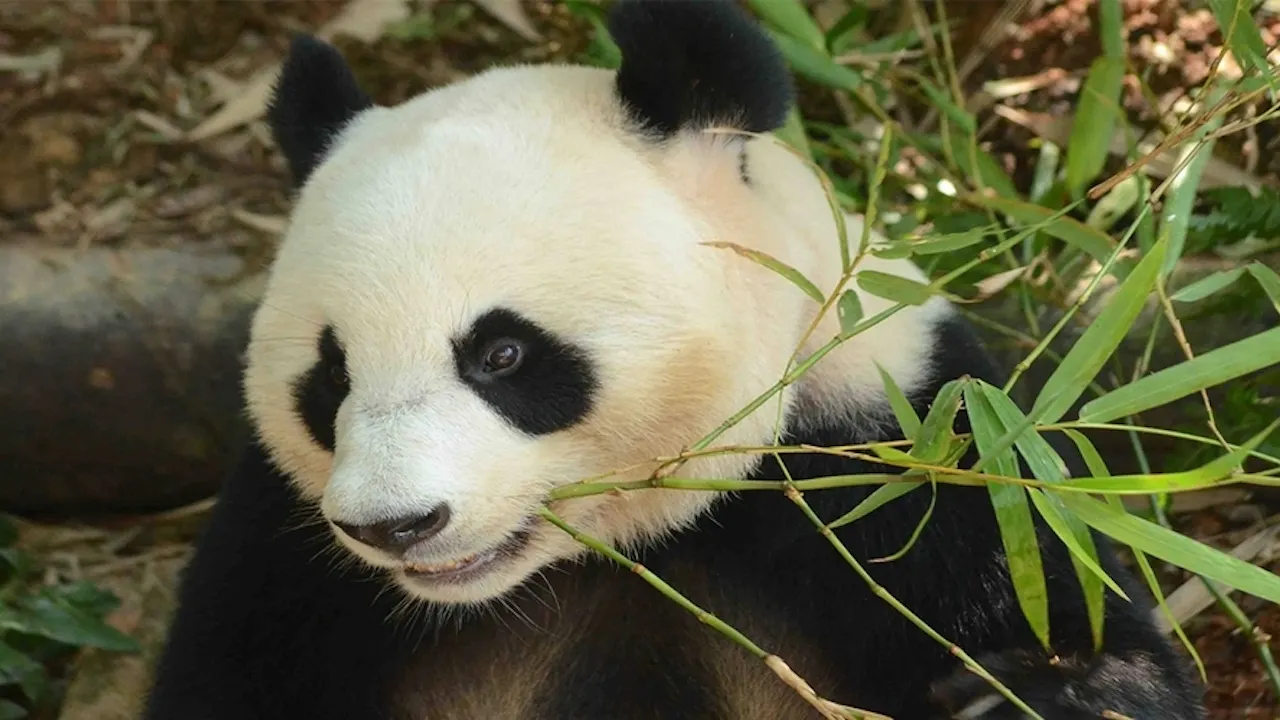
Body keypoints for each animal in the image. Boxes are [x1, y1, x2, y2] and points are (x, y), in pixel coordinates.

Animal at [143, 1, 1206, 718]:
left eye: (502, 353)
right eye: (331, 377)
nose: (396, 526)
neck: (616, 548)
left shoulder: (906, 441)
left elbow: (1076, 632)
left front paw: (1020, 691)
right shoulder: (283, 557)